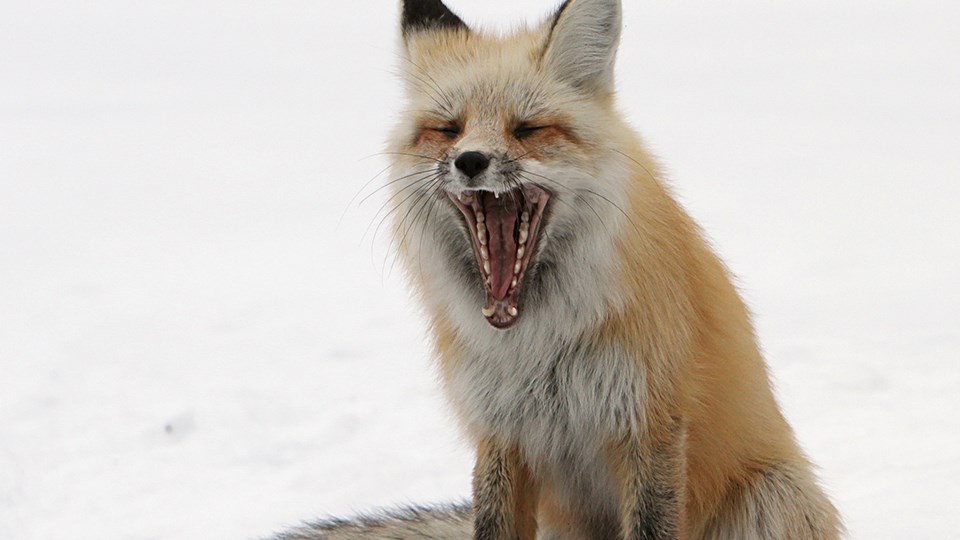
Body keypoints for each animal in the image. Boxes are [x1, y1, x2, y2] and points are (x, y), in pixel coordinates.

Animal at [284, 0, 840, 536]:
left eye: (527, 129)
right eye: (448, 130)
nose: (470, 160)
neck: (538, 344)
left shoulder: (649, 422)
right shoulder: (501, 431)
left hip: (772, 496)